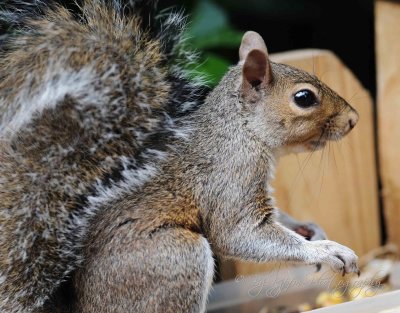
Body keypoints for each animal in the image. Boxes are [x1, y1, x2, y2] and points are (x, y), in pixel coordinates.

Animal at [0, 0, 360, 312]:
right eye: (304, 98)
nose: (353, 119)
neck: (241, 132)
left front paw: (310, 229)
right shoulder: (231, 175)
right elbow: (240, 233)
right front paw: (326, 251)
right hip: (176, 257)